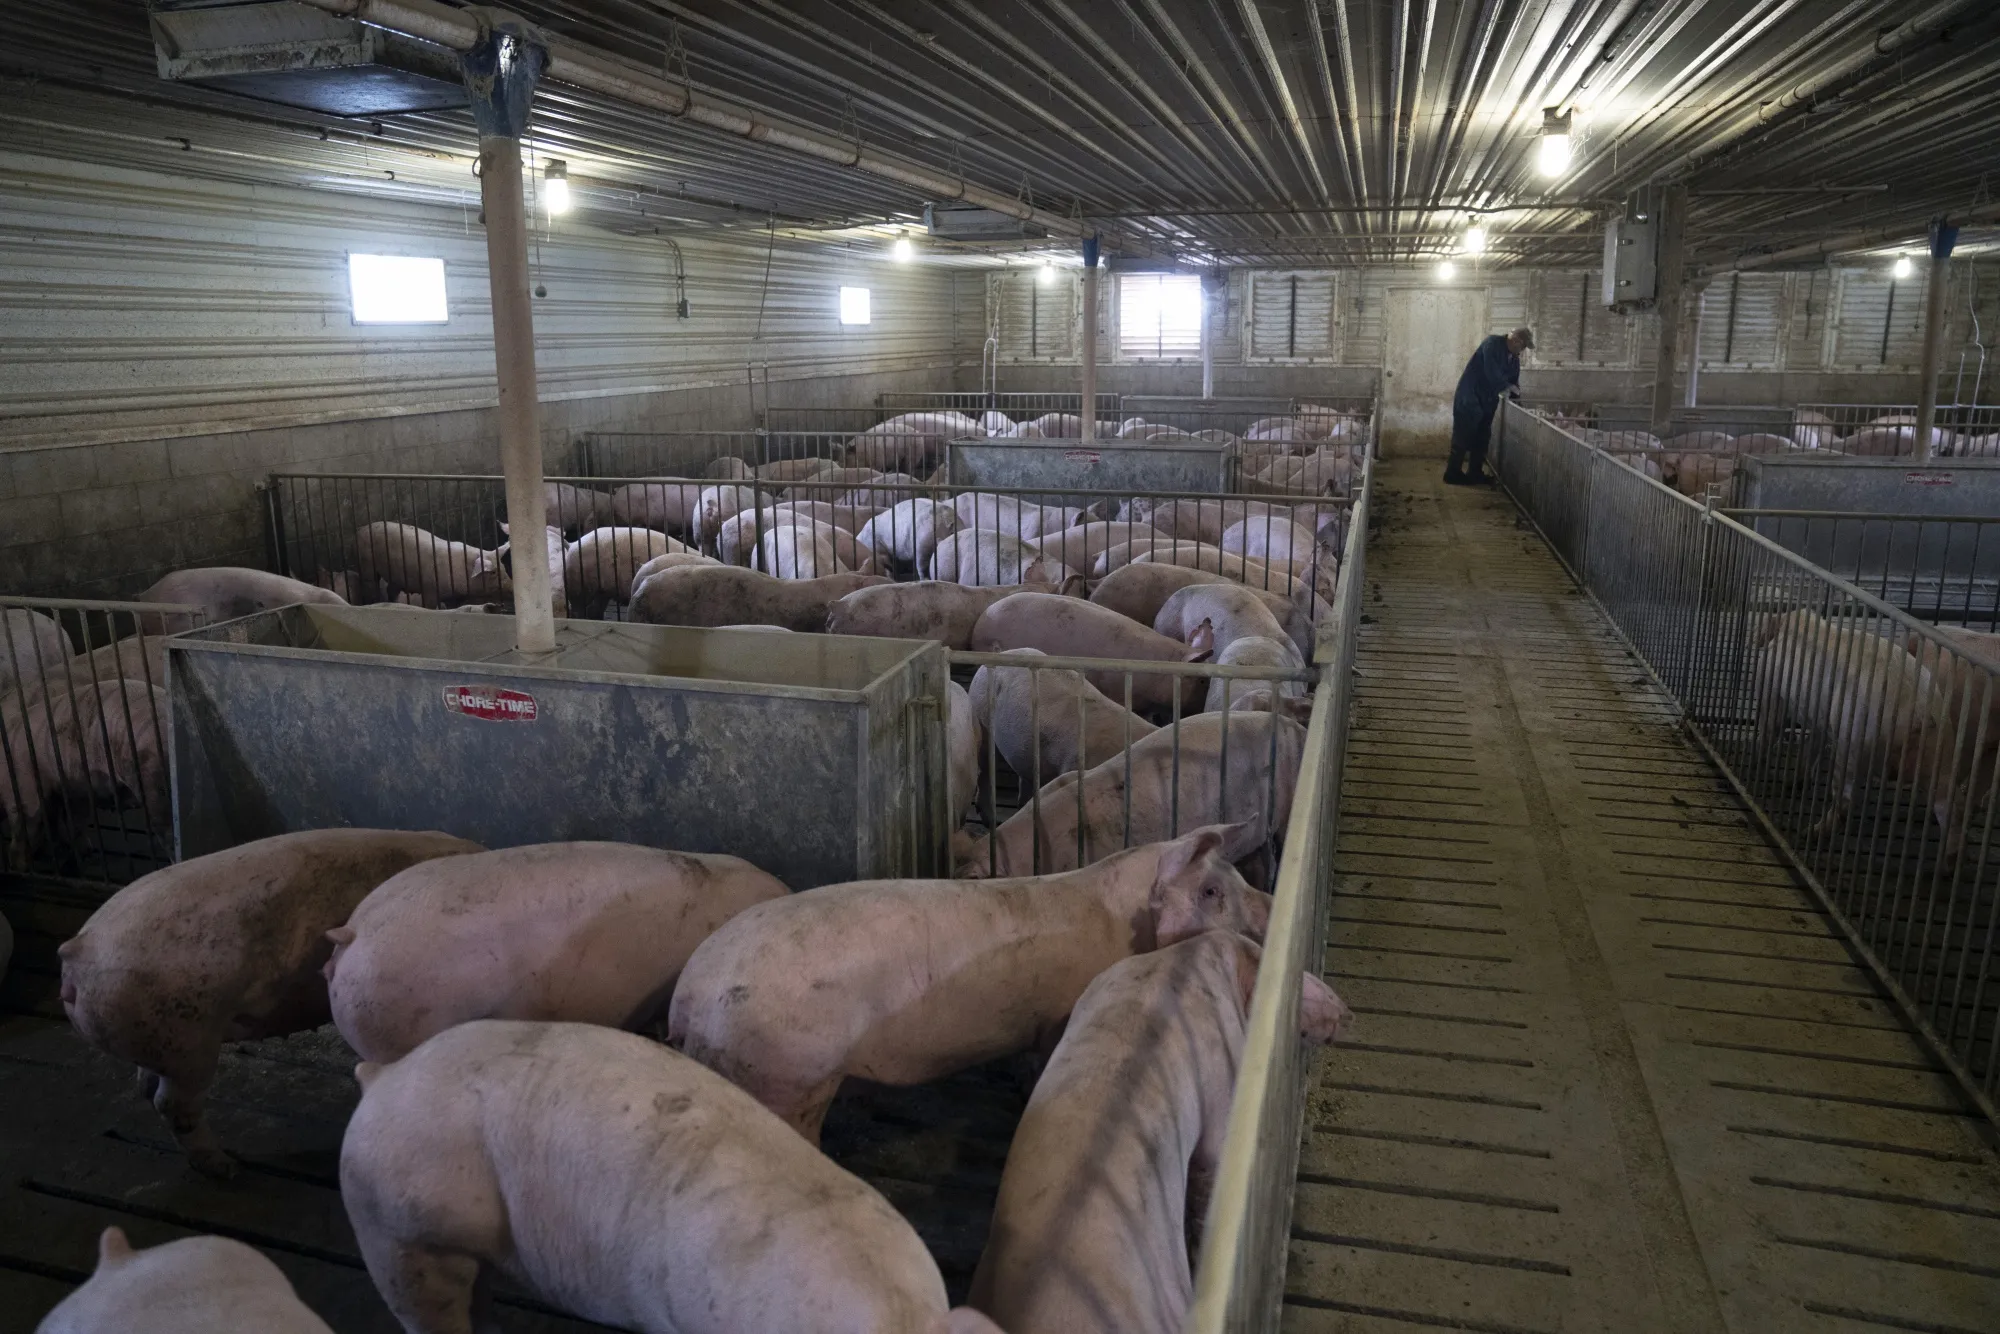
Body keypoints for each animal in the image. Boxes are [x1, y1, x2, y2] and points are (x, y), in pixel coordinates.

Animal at [2, 680, 168, 871]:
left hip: (74, 790)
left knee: (66, 823)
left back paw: (84, 852)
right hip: (25, 786)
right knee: (26, 832)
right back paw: (25, 867)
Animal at [354, 523, 505, 606]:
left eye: (503, 566)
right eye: (493, 572)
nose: (508, 585)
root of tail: (361, 528)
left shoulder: (455, 596)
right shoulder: (430, 588)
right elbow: (430, 605)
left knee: (391, 589)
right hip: (366, 562)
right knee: (370, 583)